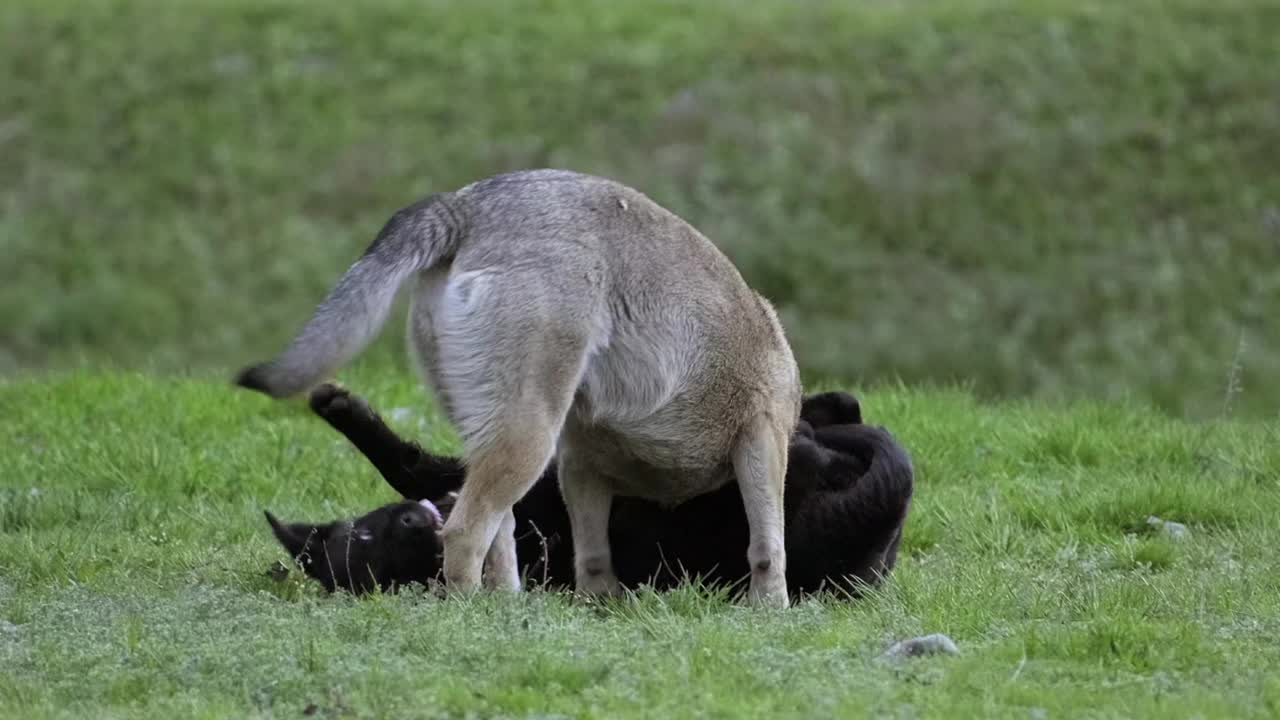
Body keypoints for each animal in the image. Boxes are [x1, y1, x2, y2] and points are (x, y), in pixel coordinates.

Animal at [238, 167, 798, 604]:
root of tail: (466, 204)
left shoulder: (579, 467)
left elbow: (593, 556)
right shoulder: (761, 439)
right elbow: (768, 546)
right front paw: (771, 610)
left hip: (500, 441)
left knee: (496, 535)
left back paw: (507, 608)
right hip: (528, 438)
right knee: (464, 534)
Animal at [267, 384, 911, 597]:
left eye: (363, 534)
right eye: (379, 562)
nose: (413, 526)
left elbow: (405, 464)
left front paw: (339, 407)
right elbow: (412, 466)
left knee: (842, 405)